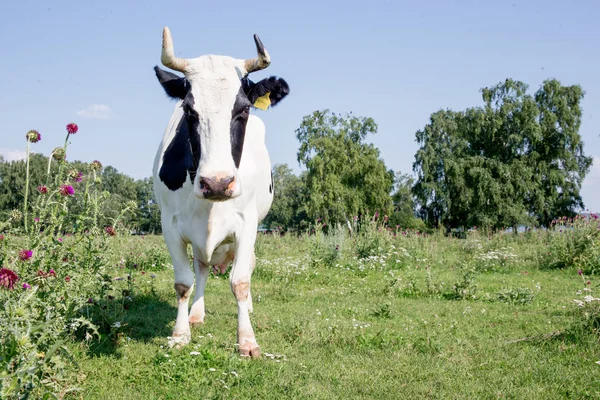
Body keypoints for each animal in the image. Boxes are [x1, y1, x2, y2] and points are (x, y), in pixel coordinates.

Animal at [151, 26, 290, 358]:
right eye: (189, 110)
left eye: (243, 109)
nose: (216, 183)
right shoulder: (169, 225)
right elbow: (183, 282)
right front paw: (180, 333)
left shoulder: (248, 223)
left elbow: (239, 281)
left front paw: (247, 340)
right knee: (201, 268)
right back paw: (197, 314)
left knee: (247, 266)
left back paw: (247, 309)